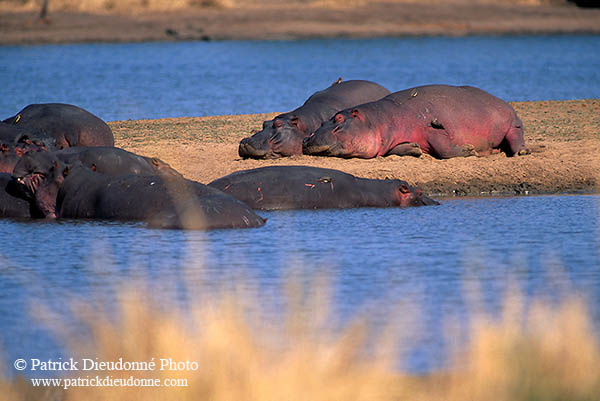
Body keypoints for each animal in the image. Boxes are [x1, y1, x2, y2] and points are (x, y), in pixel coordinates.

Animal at [302, 85, 528, 159]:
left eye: (339, 118)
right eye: (322, 122)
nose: (306, 139)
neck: (379, 120)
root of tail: (501, 100)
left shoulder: (432, 127)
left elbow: (444, 147)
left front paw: (469, 150)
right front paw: (414, 148)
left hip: (511, 122)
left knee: (516, 134)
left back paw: (522, 152)